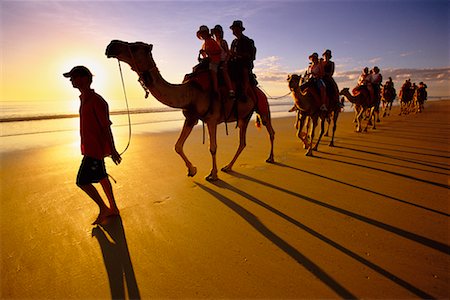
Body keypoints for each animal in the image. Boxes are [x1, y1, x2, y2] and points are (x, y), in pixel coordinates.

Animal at [105, 39, 274, 180]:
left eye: (135, 47)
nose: (111, 45)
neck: (191, 92)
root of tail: (259, 91)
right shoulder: (191, 117)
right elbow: (178, 146)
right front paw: (192, 170)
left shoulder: (212, 119)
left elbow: (212, 147)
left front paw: (212, 174)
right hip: (244, 116)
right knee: (243, 142)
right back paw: (228, 167)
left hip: (262, 106)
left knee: (269, 130)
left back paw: (270, 158)